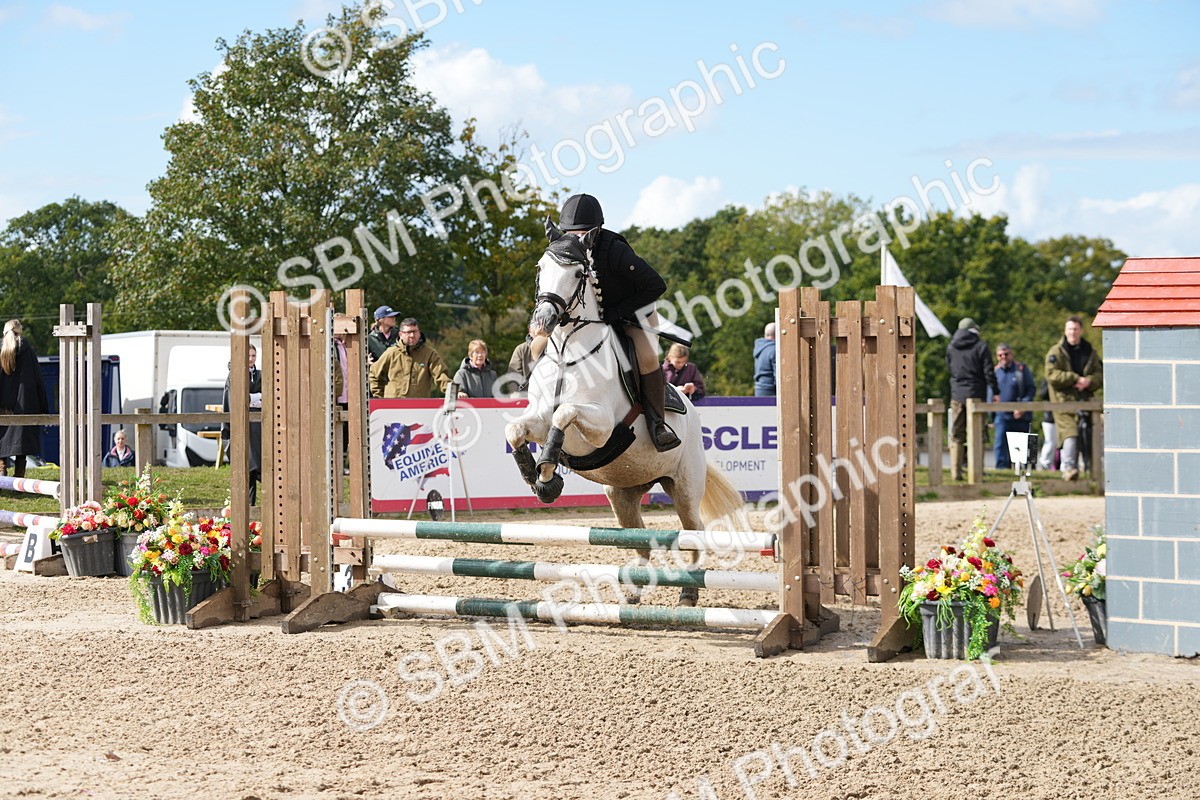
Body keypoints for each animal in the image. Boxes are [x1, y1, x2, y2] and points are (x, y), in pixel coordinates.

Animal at [504, 221, 745, 605]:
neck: (568, 352)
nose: (542, 321)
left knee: (693, 533)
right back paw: (632, 593)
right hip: (623, 493)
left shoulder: (600, 425)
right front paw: (537, 477)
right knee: (640, 539)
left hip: (684, 487)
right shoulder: (537, 417)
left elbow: (564, 414)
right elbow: (515, 430)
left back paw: (688, 593)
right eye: (541, 269)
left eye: (577, 273)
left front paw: (548, 472)